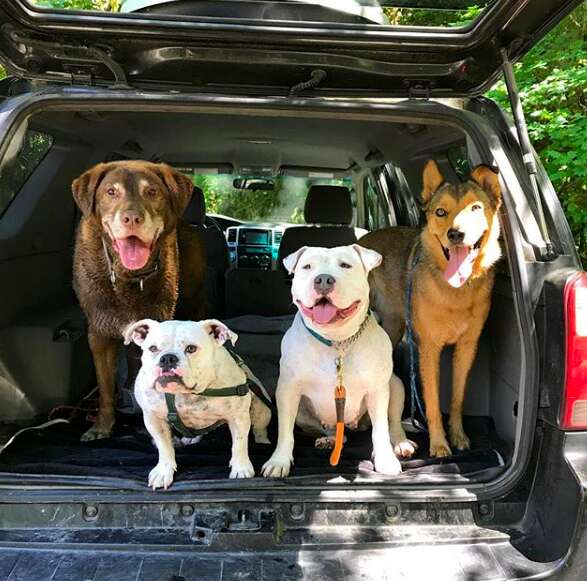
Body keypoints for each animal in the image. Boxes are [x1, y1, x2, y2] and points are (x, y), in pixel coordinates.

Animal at [126, 320, 274, 488]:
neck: (187, 393)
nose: (168, 358)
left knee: (260, 430)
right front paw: (163, 471)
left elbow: (239, 444)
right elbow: (164, 447)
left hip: (261, 410)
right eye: (153, 348)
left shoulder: (238, 417)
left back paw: (263, 444)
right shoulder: (153, 419)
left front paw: (241, 469)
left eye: (191, 348)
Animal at [262, 244, 414, 476]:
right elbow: (285, 432)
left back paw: (400, 443)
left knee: (394, 423)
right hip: (303, 411)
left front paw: (385, 459)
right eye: (307, 267)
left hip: (395, 386)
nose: (323, 279)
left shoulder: (378, 391)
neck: (336, 341)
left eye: (345, 265)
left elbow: (380, 429)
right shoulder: (287, 390)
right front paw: (279, 461)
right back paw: (330, 439)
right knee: (328, 428)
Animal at [360, 160, 504, 458]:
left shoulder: (467, 348)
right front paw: (438, 443)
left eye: (476, 208)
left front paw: (458, 435)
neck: (456, 291)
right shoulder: (429, 349)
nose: (456, 234)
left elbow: (457, 398)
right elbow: (434, 402)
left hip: (394, 326)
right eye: (440, 212)